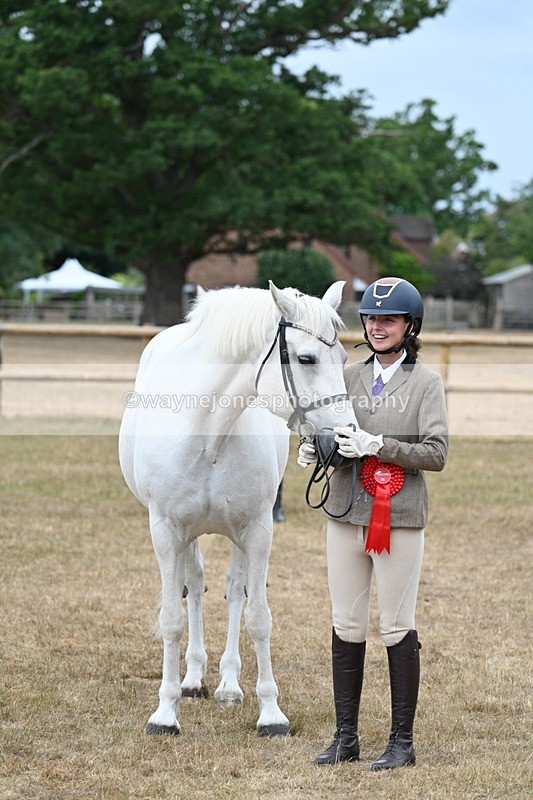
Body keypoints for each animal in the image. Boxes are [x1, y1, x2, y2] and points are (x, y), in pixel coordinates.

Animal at [118, 280, 357, 737]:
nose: (342, 442)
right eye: (306, 358)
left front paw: (271, 714)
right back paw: (192, 678)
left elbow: (258, 615)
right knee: (194, 587)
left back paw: (228, 684)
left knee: (233, 590)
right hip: (189, 535)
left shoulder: (258, 530)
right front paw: (165, 713)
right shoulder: (166, 531)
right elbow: (172, 618)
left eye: (344, 358)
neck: (208, 433)